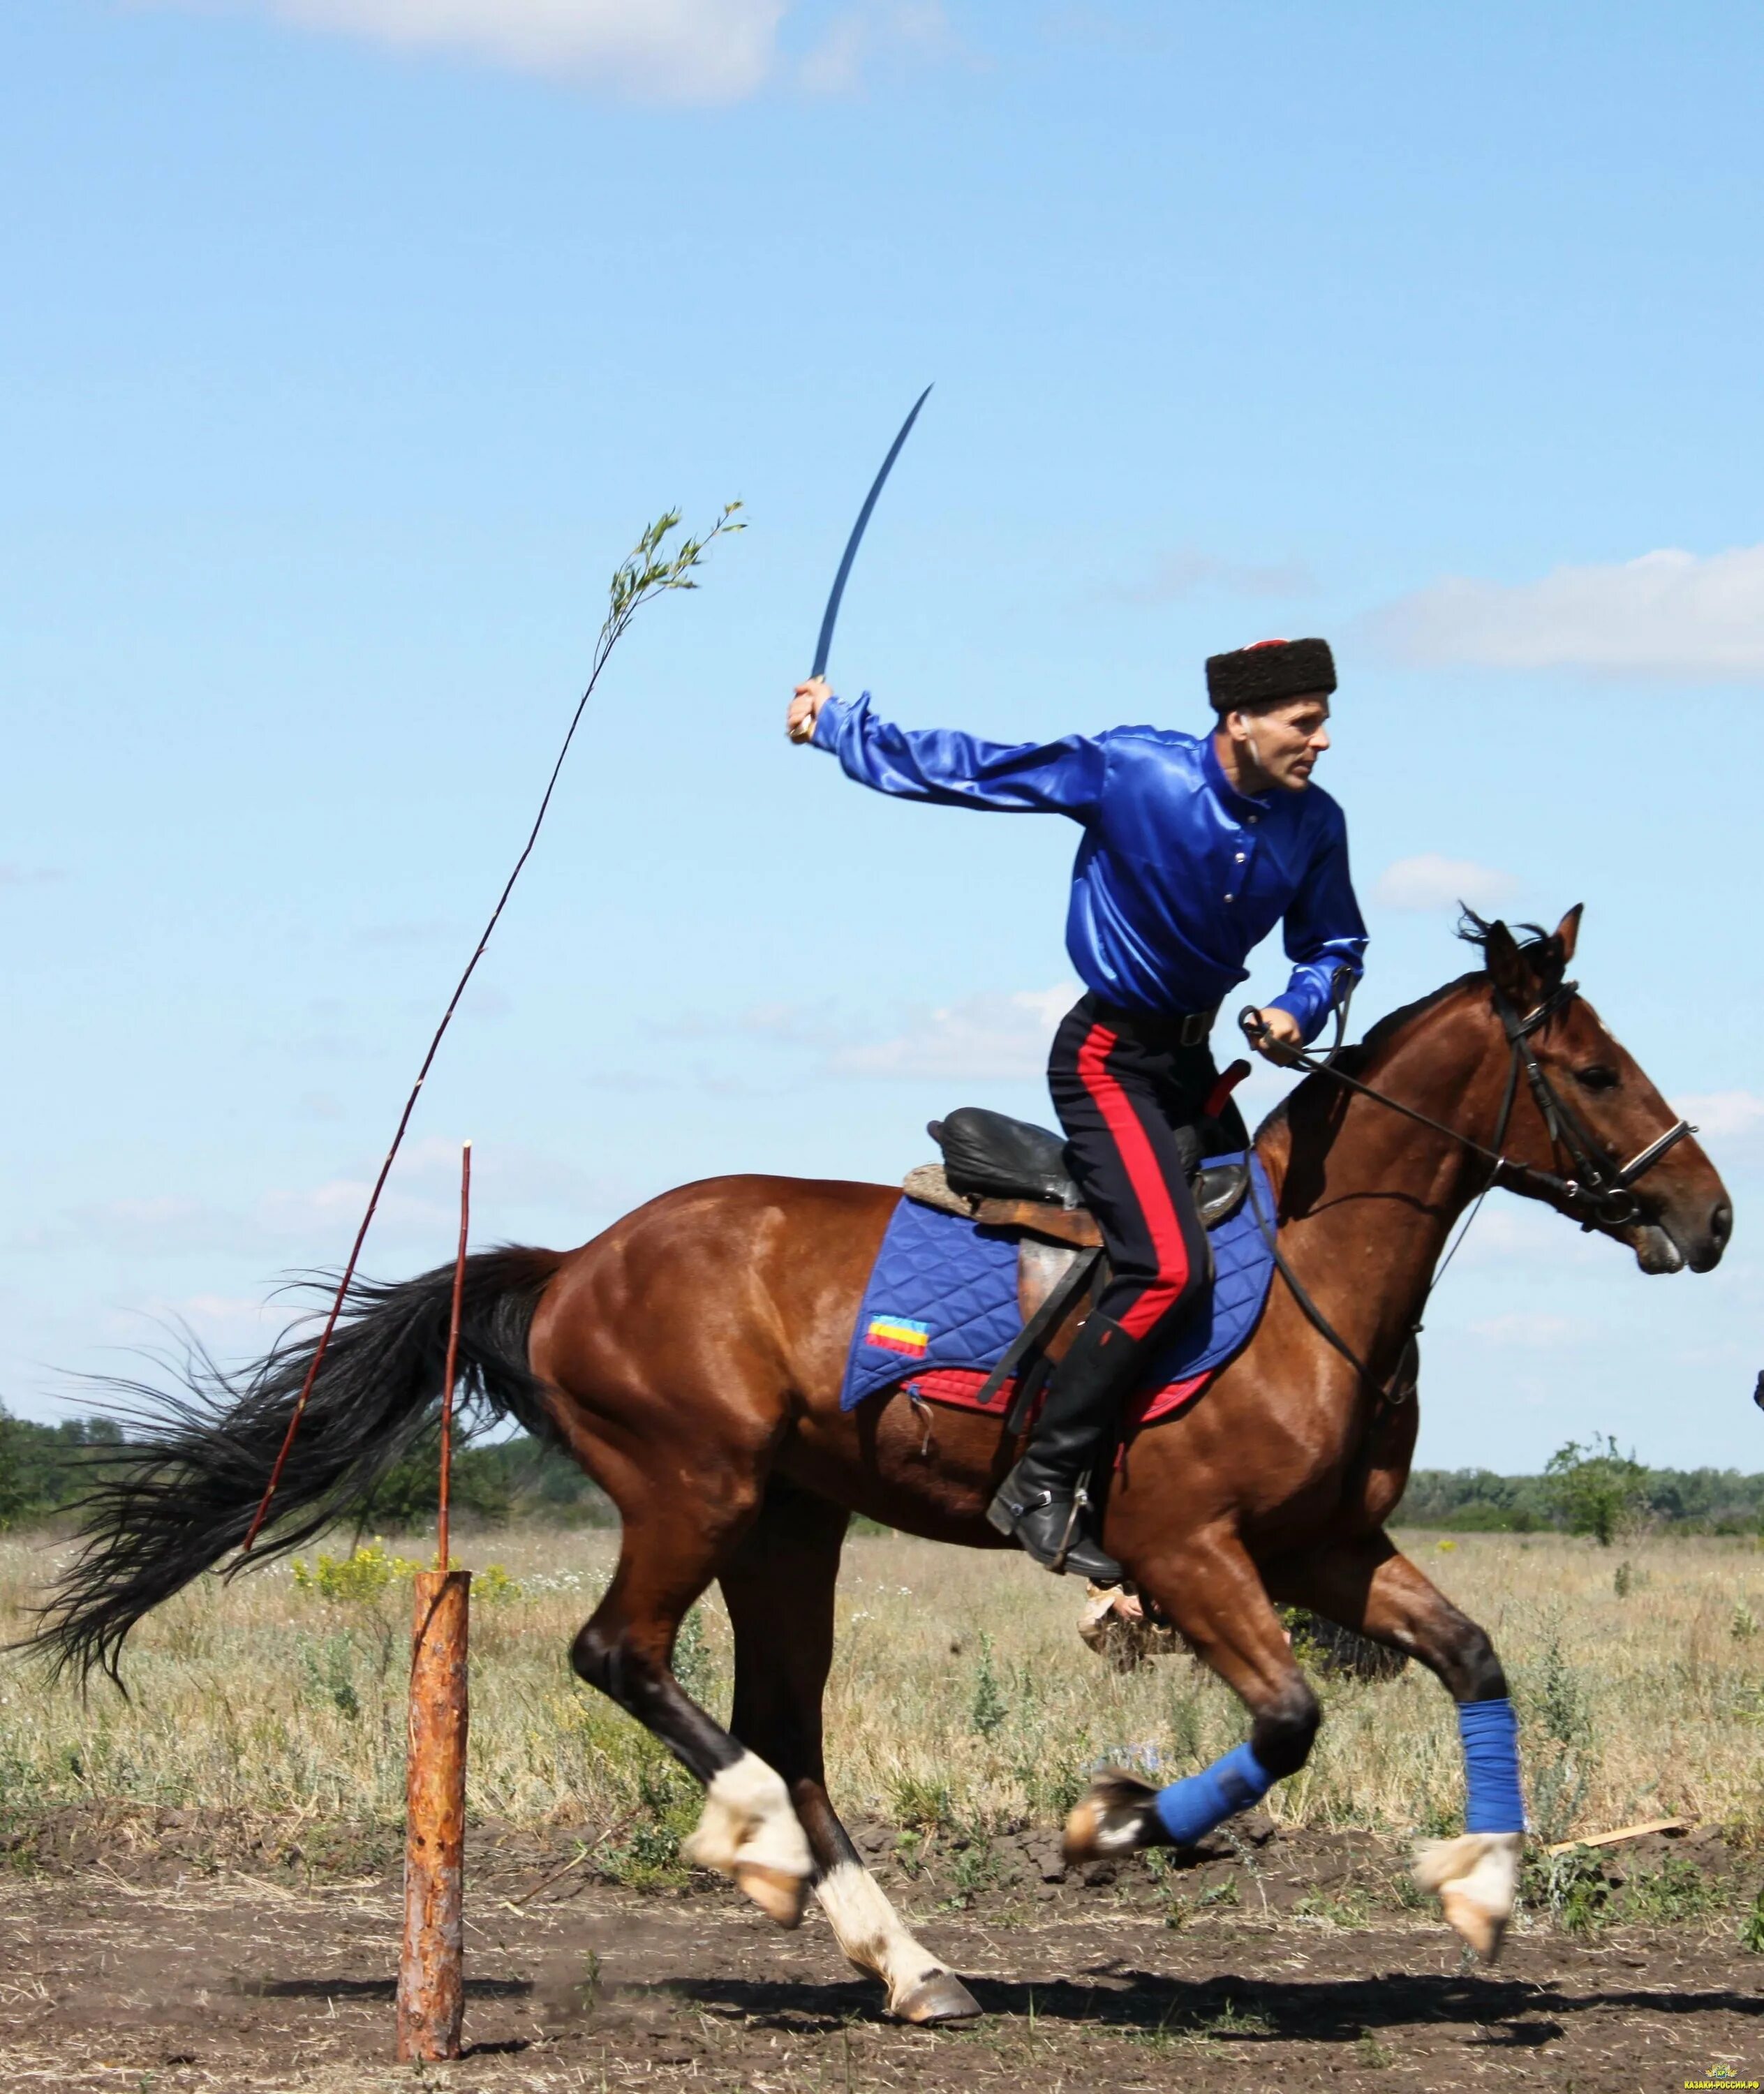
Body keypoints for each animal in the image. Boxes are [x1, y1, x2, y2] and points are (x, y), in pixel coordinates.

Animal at [38, 909, 1717, 2019]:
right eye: (1598, 1073)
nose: (1707, 1219)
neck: (1315, 1275)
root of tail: (575, 1260)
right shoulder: (1187, 1550)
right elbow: (1291, 1720)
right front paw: (1108, 1827)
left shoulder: (1327, 1550)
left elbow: (1476, 1656)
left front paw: (1484, 1888)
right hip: (696, 1490)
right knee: (624, 1659)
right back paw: (767, 1855)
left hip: (792, 1526)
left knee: (787, 1728)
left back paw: (902, 1962)